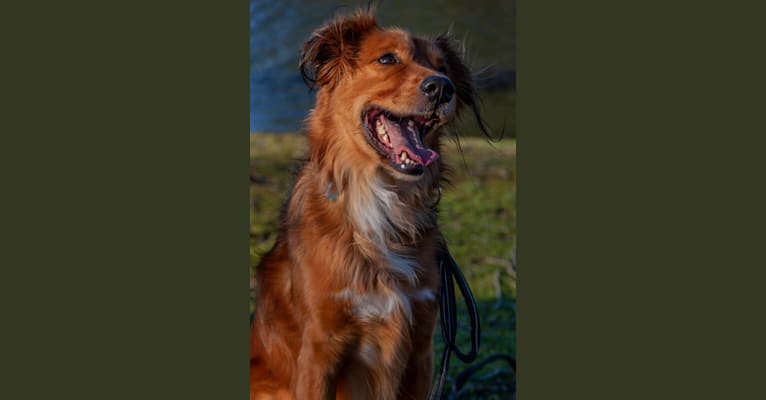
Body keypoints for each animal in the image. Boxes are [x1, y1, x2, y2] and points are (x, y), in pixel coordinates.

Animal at [249, 10, 484, 400]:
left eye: (442, 68)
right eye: (387, 59)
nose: (442, 87)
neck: (380, 202)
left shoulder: (421, 348)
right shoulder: (320, 350)